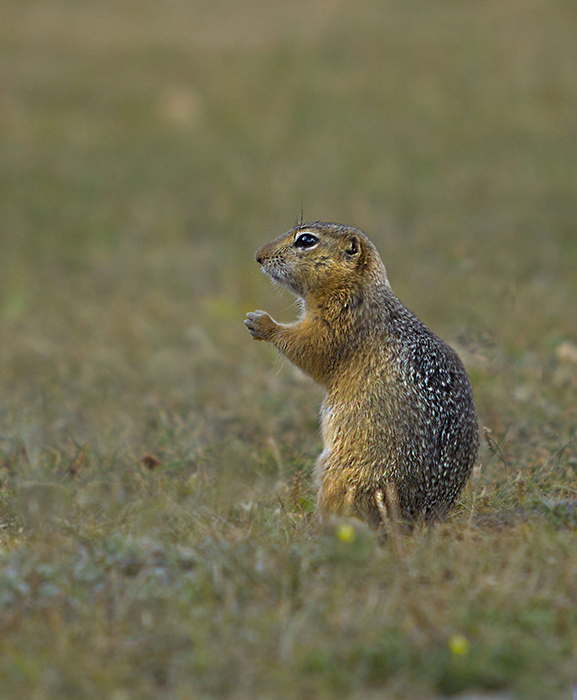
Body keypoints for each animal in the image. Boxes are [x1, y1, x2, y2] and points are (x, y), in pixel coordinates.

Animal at [245, 221, 480, 528]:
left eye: (306, 240)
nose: (258, 256)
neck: (358, 287)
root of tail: (421, 517)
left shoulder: (337, 321)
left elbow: (309, 348)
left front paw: (261, 323)